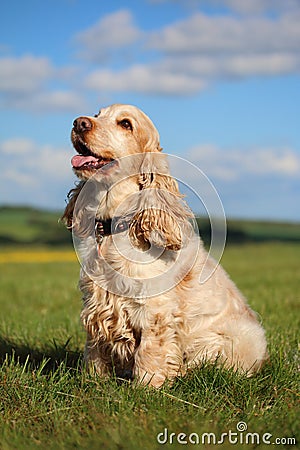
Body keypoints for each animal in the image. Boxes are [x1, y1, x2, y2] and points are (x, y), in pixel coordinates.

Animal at [62, 103, 268, 386]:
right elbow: (94, 350)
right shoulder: (95, 305)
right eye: (97, 114)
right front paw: (93, 381)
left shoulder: (154, 310)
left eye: (126, 124)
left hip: (242, 338)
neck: (117, 225)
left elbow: (150, 352)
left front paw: (145, 386)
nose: (78, 123)